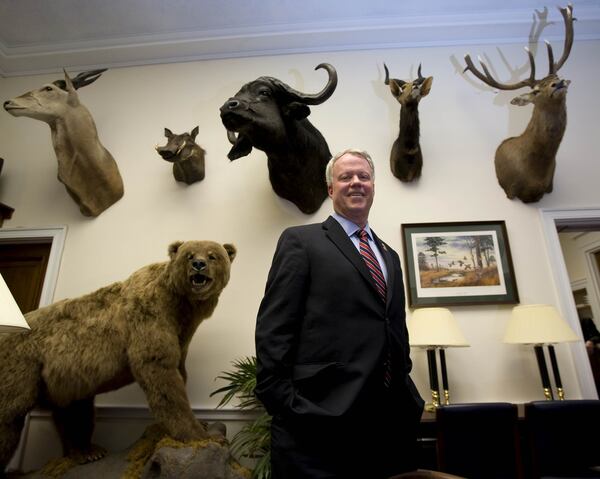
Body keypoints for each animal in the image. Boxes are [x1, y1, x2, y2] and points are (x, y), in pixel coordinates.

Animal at [0, 240, 237, 468]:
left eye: (212, 255)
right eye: (189, 255)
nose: (198, 264)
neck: (182, 307)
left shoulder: (181, 335)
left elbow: (179, 369)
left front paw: (202, 422)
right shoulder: (150, 316)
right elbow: (160, 372)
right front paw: (202, 435)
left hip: (64, 377)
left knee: (74, 410)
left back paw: (88, 452)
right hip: (22, 365)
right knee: (9, 416)